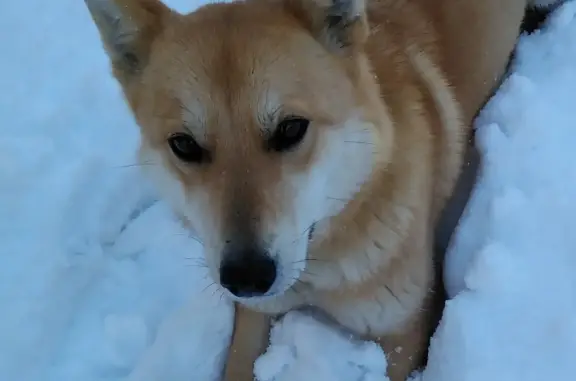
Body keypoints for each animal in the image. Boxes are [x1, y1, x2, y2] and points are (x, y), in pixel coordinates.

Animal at [84, 0, 560, 378]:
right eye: (184, 145)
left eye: (291, 129)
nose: (246, 277)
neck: (318, 266)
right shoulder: (254, 317)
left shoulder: (404, 329)